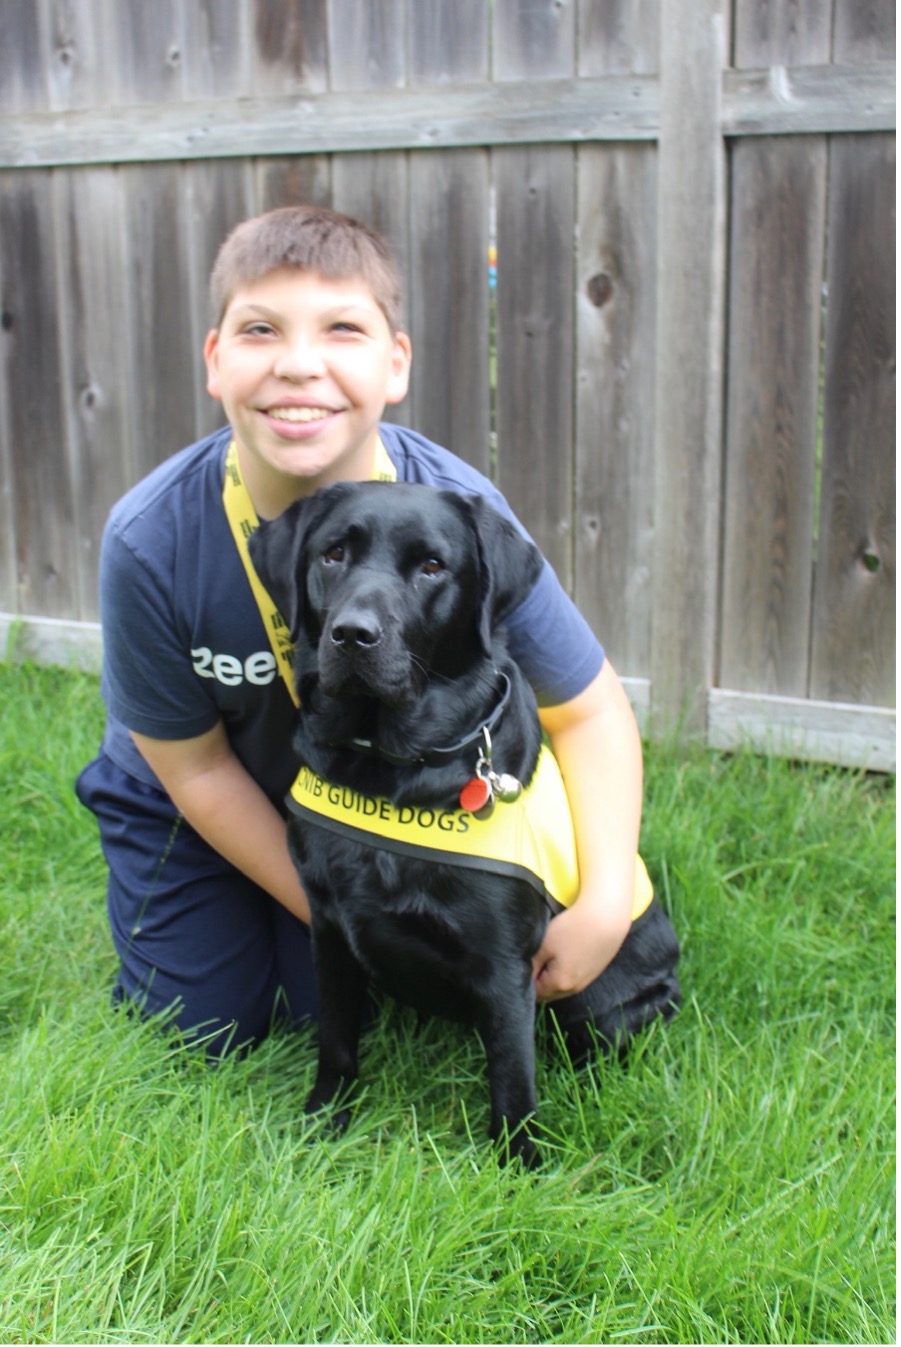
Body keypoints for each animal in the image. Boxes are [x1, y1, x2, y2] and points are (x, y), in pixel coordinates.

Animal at [249, 487, 678, 1169]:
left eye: (432, 566)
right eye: (333, 554)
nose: (353, 635)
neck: (389, 769)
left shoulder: (505, 963)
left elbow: (512, 1078)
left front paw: (520, 1169)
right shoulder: (329, 929)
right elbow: (336, 1039)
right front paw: (322, 1123)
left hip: (606, 1003)